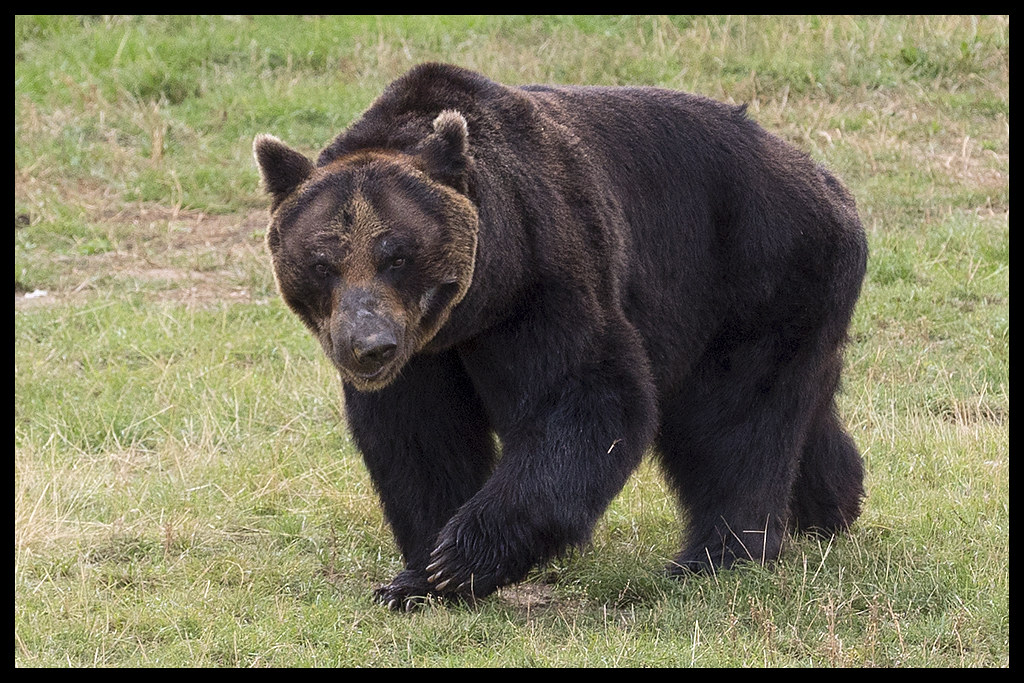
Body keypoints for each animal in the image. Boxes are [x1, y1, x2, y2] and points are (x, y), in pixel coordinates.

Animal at [253, 62, 864, 610]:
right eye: (322, 262)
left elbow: (585, 398)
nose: (368, 345)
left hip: (759, 274)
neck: (473, 309)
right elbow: (420, 438)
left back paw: (716, 557)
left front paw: (460, 558)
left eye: (396, 255)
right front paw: (415, 577)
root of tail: (827, 180)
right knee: (798, 408)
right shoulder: (425, 354)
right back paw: (832, 505)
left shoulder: (544, 274)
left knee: (735, 418)